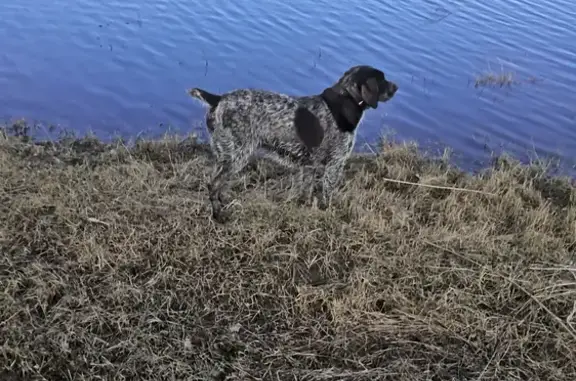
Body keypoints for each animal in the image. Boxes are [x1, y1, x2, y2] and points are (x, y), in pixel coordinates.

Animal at [187, 63, 398, 221]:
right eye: (382, 79)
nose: (396, 86)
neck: (345, 99)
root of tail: (219, 99)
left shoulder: (309, 166)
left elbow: (306, 191)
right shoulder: (335, 164)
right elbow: (327, 194)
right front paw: (328, 213)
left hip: (225, 155)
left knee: (217, 183)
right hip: (235, 155)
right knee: (213, 184)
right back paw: (218, 215)